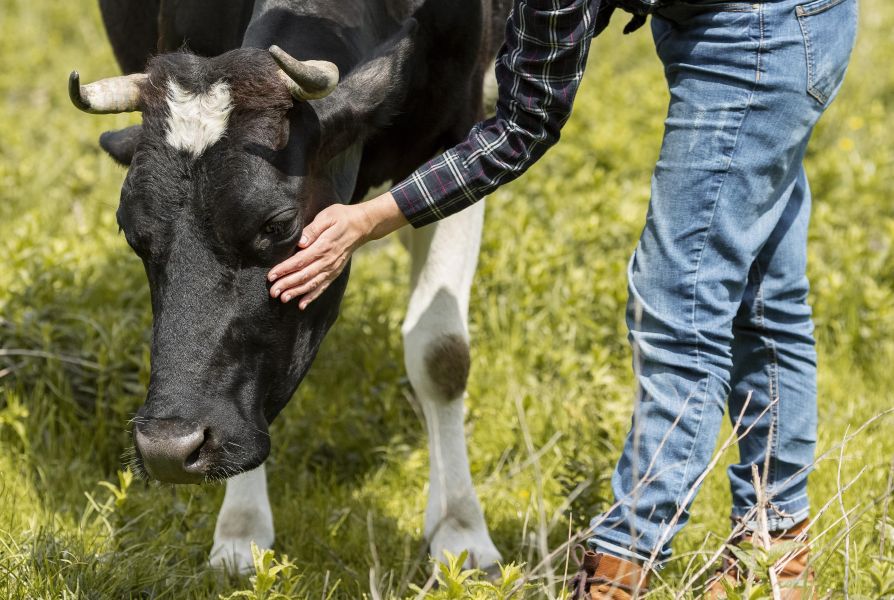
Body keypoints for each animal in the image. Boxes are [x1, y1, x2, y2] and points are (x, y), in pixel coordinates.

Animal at [70, 0, 508, 575]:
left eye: (277, 224)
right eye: (129, 229)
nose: (168, 447)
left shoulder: (458, 131)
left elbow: (442, 352)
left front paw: (460, 529)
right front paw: (241, 530)